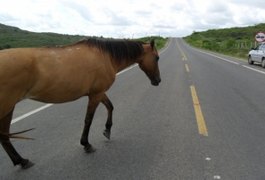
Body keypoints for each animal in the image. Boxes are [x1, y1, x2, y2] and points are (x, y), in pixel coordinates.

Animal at [0, 36, 161, 169]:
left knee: (4, 136)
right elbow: (88, 120)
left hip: (9, 107)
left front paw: (107, 130)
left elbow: (110, 107)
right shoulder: (96, 95)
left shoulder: (98, 92)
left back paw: (21, 161)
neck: (106, 57)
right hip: (7, 106)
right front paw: (86, 144)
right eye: (157, 58)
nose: (158, 81)